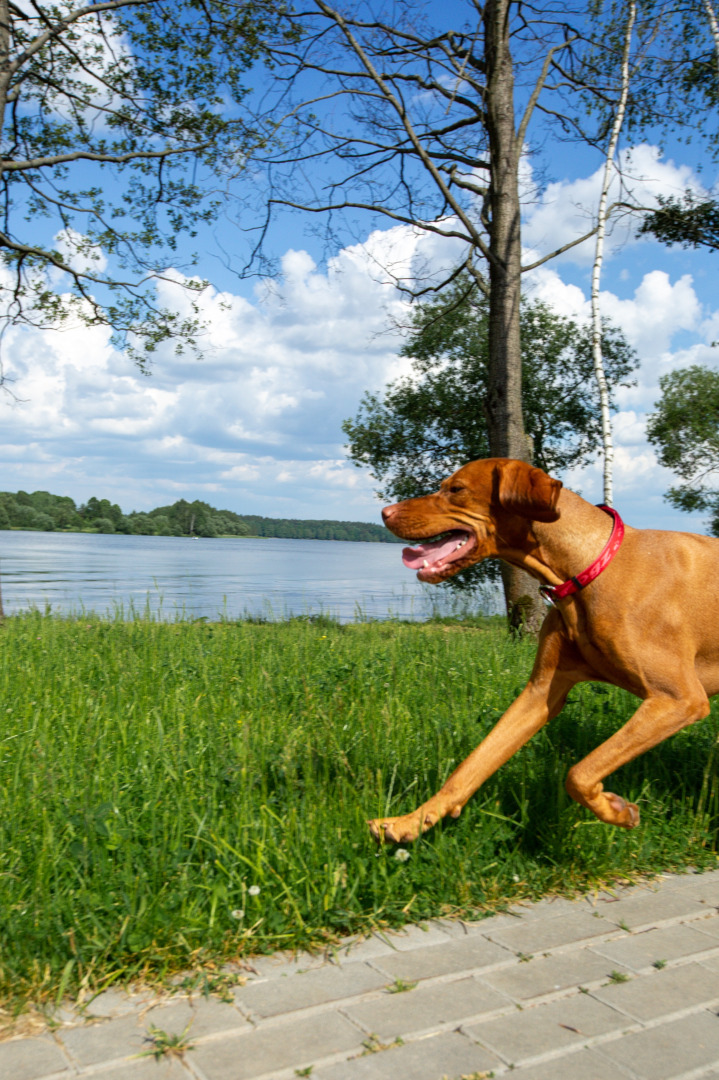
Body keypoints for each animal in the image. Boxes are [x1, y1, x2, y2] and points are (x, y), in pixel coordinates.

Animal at [369, 455, 712, 842]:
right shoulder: (541, 691)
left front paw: (617, 811)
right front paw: (411, 820)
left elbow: (578, 773)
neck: (587, 569)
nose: (384, 511)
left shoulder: (678, 699)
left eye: (456, 489)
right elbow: (472, 765)